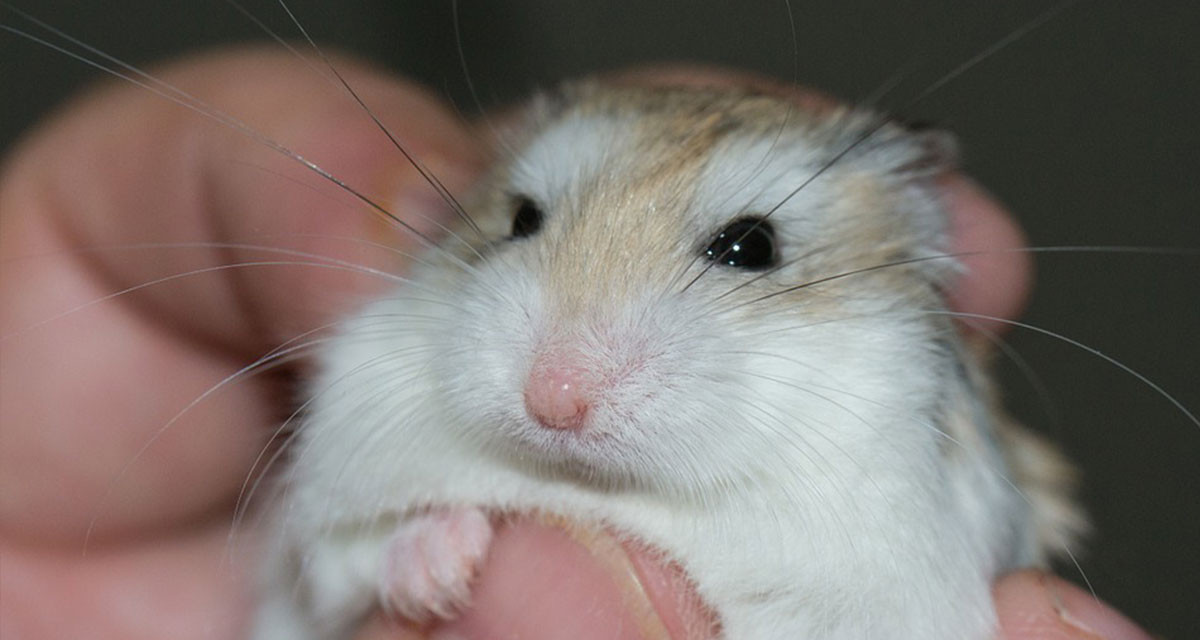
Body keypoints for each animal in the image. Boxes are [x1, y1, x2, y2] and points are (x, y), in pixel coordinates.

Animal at [250, 80, 1086, 639]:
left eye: (752, 247)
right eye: (520, 219)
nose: (553, 398)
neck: (612, 491)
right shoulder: (326, 537)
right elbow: (355, 557)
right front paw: (443, 568)